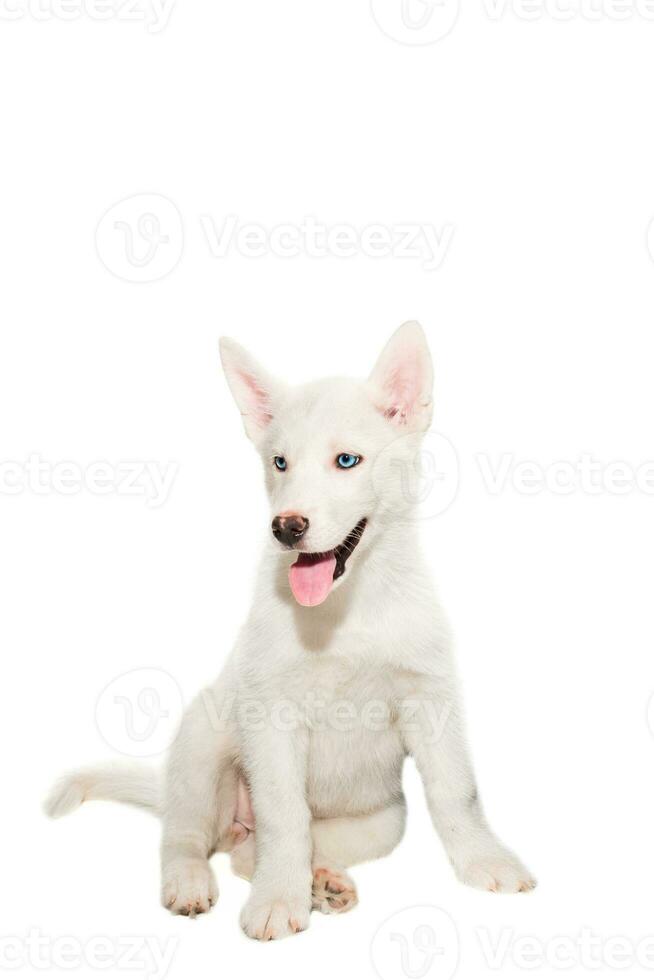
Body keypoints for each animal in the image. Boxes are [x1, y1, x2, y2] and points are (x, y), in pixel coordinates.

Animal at [47, 324, 540, 940]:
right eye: (279, 462)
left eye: (347, 460)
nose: (286, 527)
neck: (343, 612)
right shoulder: (271, 715)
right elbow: (284, 815)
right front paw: (277, 900)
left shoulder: (429, 697)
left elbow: (458, 793)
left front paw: (486, 861)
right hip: (201, 746)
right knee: (187, 836)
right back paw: (194, 881)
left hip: (384, 817)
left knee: (263, 849)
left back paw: (324, 882)